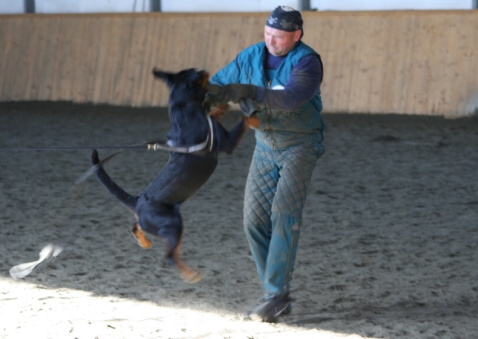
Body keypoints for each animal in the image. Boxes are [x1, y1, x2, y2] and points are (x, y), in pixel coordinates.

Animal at [89, 67, 254, 282]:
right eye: (197, 73)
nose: (204, 69)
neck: (183, 109)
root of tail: (138, 201)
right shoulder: (227, 143)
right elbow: (244, 121)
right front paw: (255, 115)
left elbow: (214, 113)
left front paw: (221, 108)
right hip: (174, 224)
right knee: (169, 256)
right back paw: (191, 274)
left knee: (136, 227)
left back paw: (145, 242)